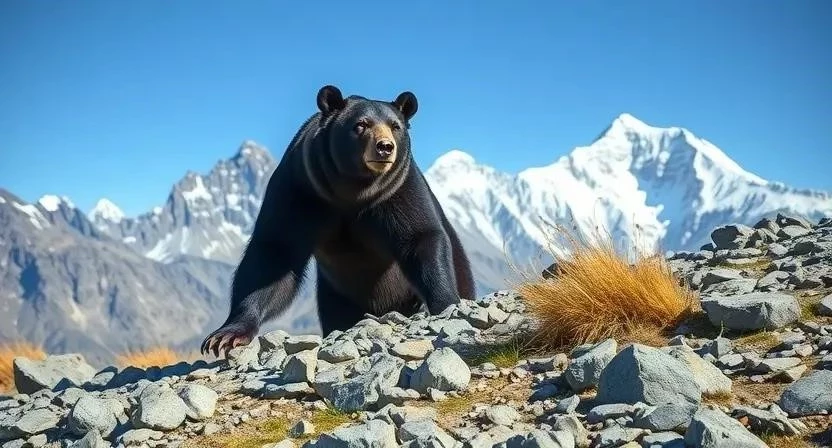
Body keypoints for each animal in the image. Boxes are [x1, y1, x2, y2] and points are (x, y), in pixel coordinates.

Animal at [200, 84, 476, 358]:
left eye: (395, 126)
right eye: (361, 124)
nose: (385, 147)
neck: (352, 190)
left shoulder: (397, 190)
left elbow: (420, 236)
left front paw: (446, 303)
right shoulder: (301, 189)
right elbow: (274, 252)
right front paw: (226, 336)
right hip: (334, 295)